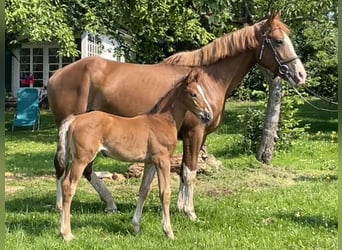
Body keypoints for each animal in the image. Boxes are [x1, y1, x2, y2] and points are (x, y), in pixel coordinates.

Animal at [57, 71, 212, 241]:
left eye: (203, 92)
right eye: (193, 94)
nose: (208, 115)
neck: (162, 120)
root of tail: (74, 119)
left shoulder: (150, 162)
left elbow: (143, 190)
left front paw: (136, 227)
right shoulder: (163, 160)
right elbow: (165, 193)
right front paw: (169, 232)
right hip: (81, 159)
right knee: (69, 185)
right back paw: (66, 234)